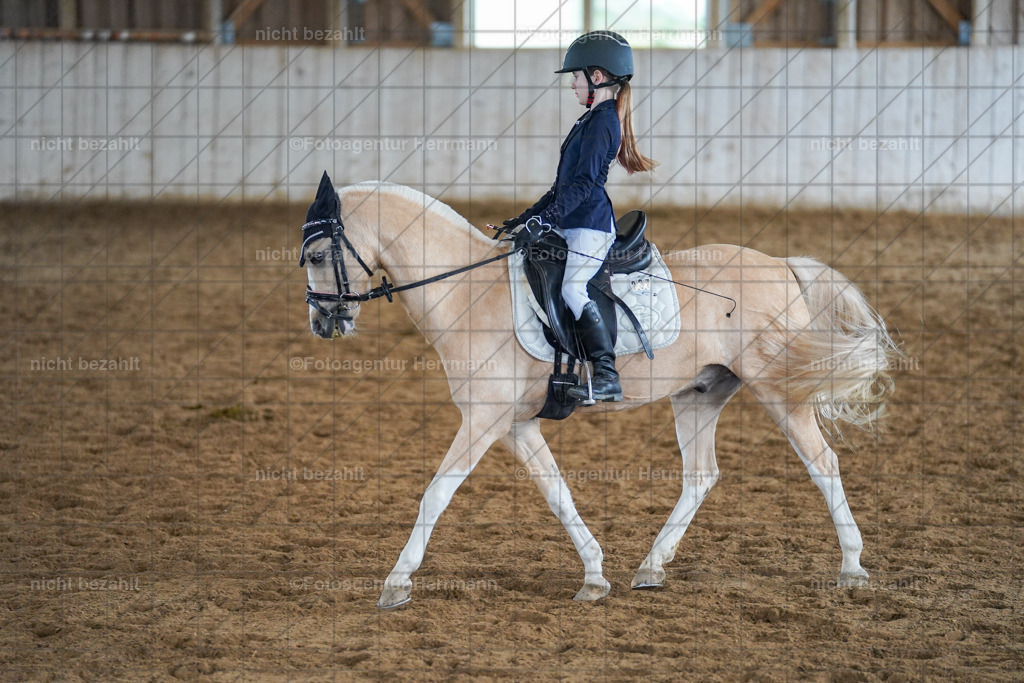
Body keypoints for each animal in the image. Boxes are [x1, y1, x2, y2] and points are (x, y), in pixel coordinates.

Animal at [298, 173, 900, 609]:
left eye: (316, 255)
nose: (323, 322)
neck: (467, 293)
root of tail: (781, 264)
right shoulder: (514, 425)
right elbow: (556, 492)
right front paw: (593, 575)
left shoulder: (483, 421)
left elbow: (435, 494)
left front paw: (396, 583)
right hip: (699, 393)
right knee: (701, 475)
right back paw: (651, 567)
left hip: (779, 390)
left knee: (823, 463)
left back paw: (852, 568)